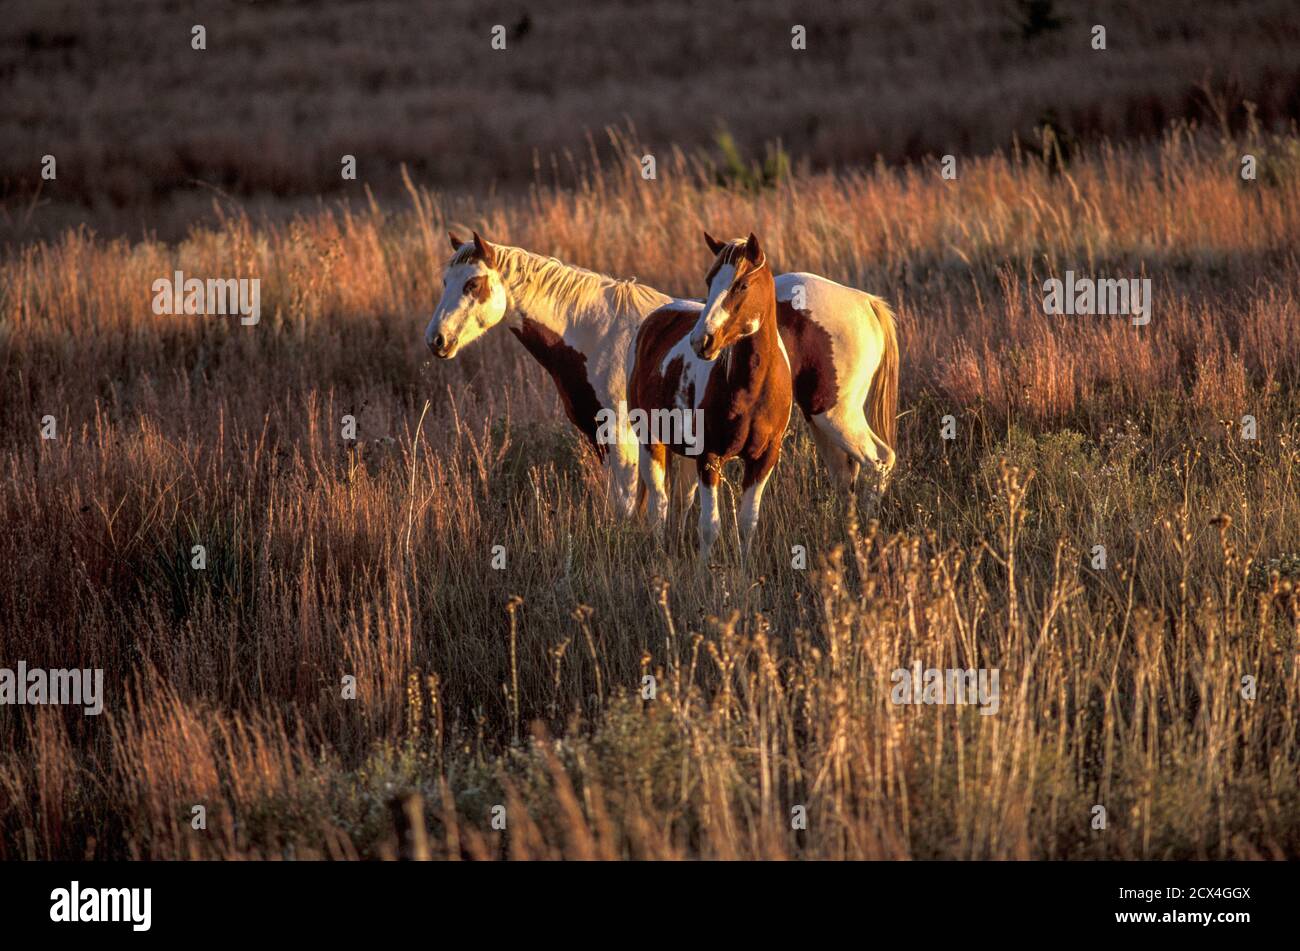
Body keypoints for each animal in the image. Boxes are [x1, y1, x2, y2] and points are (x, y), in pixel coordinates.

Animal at [423, 231, 897, 515]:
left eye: (472, 284)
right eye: (444, 281)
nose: (436, 340)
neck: (596, 330)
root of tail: (865, 303)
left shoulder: (622, 439)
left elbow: (628, 506)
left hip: (834, 414)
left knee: (879, 462)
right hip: (821, 420)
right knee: (847, 473)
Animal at [628, 232, 792, 560]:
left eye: (742, 285)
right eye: (709, 280)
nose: (700, 341)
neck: (754, 390)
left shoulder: (764, 458)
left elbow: (747, 523)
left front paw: (744, 568)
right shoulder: (709, 456)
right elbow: (709, 526)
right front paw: (705, 571)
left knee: (679, 502)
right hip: (651, 439)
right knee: (659, 503)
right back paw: (660, 553)